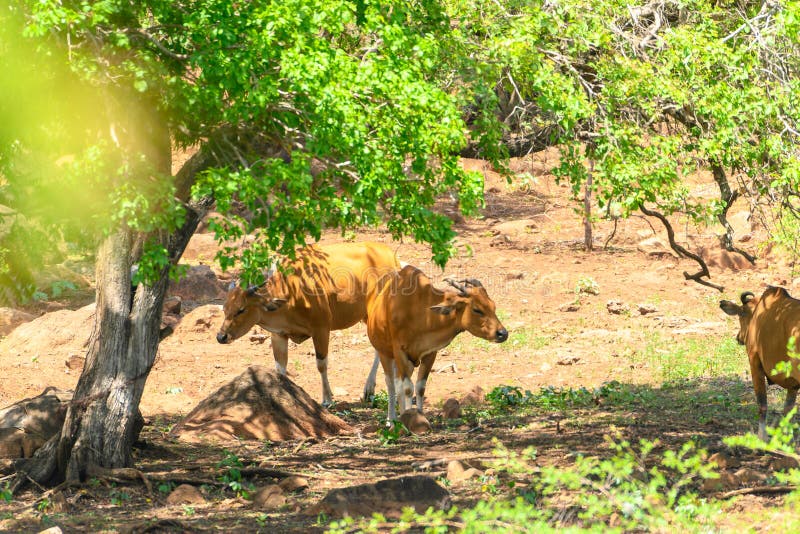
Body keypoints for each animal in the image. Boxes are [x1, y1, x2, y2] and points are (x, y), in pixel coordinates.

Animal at [216, 243, 400, 406]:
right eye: (225, 307)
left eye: (241, 309)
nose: (221, 336)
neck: (292, 290)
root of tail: (392, 257)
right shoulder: (278, 334)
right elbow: (280, 369)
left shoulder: (321, 328)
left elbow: (321, 364)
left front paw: (327, 399)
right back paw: (370, 390)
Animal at [364, 264, 506, 422]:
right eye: (477, 309)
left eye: (493, 306)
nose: (502, 333)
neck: (421, 312)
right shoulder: (399, 351)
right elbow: (407, 388)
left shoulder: (430, 353)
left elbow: (420, 387)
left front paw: (418, 415)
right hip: (384, 352)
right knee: (391, 384)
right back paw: (391, 419)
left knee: (398, 383)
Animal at [720, 286, 800, 442]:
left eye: (741, 315)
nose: (739, 337)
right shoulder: (793, 383)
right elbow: (787, 411)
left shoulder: (754, 362)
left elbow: (762, 404)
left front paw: (762, 437)